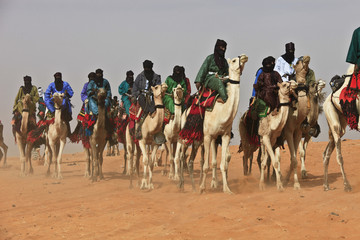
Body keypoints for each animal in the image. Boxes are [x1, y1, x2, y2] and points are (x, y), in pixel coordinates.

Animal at [198, 54, 249, 193]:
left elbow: (223, 164)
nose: (244, 56)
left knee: (215, 160)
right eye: (234, 60)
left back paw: (214, 183)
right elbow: (206, 165)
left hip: (215, 138)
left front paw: (227, 189)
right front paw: (201, 188)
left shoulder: (224, 135)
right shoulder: (207, 135)